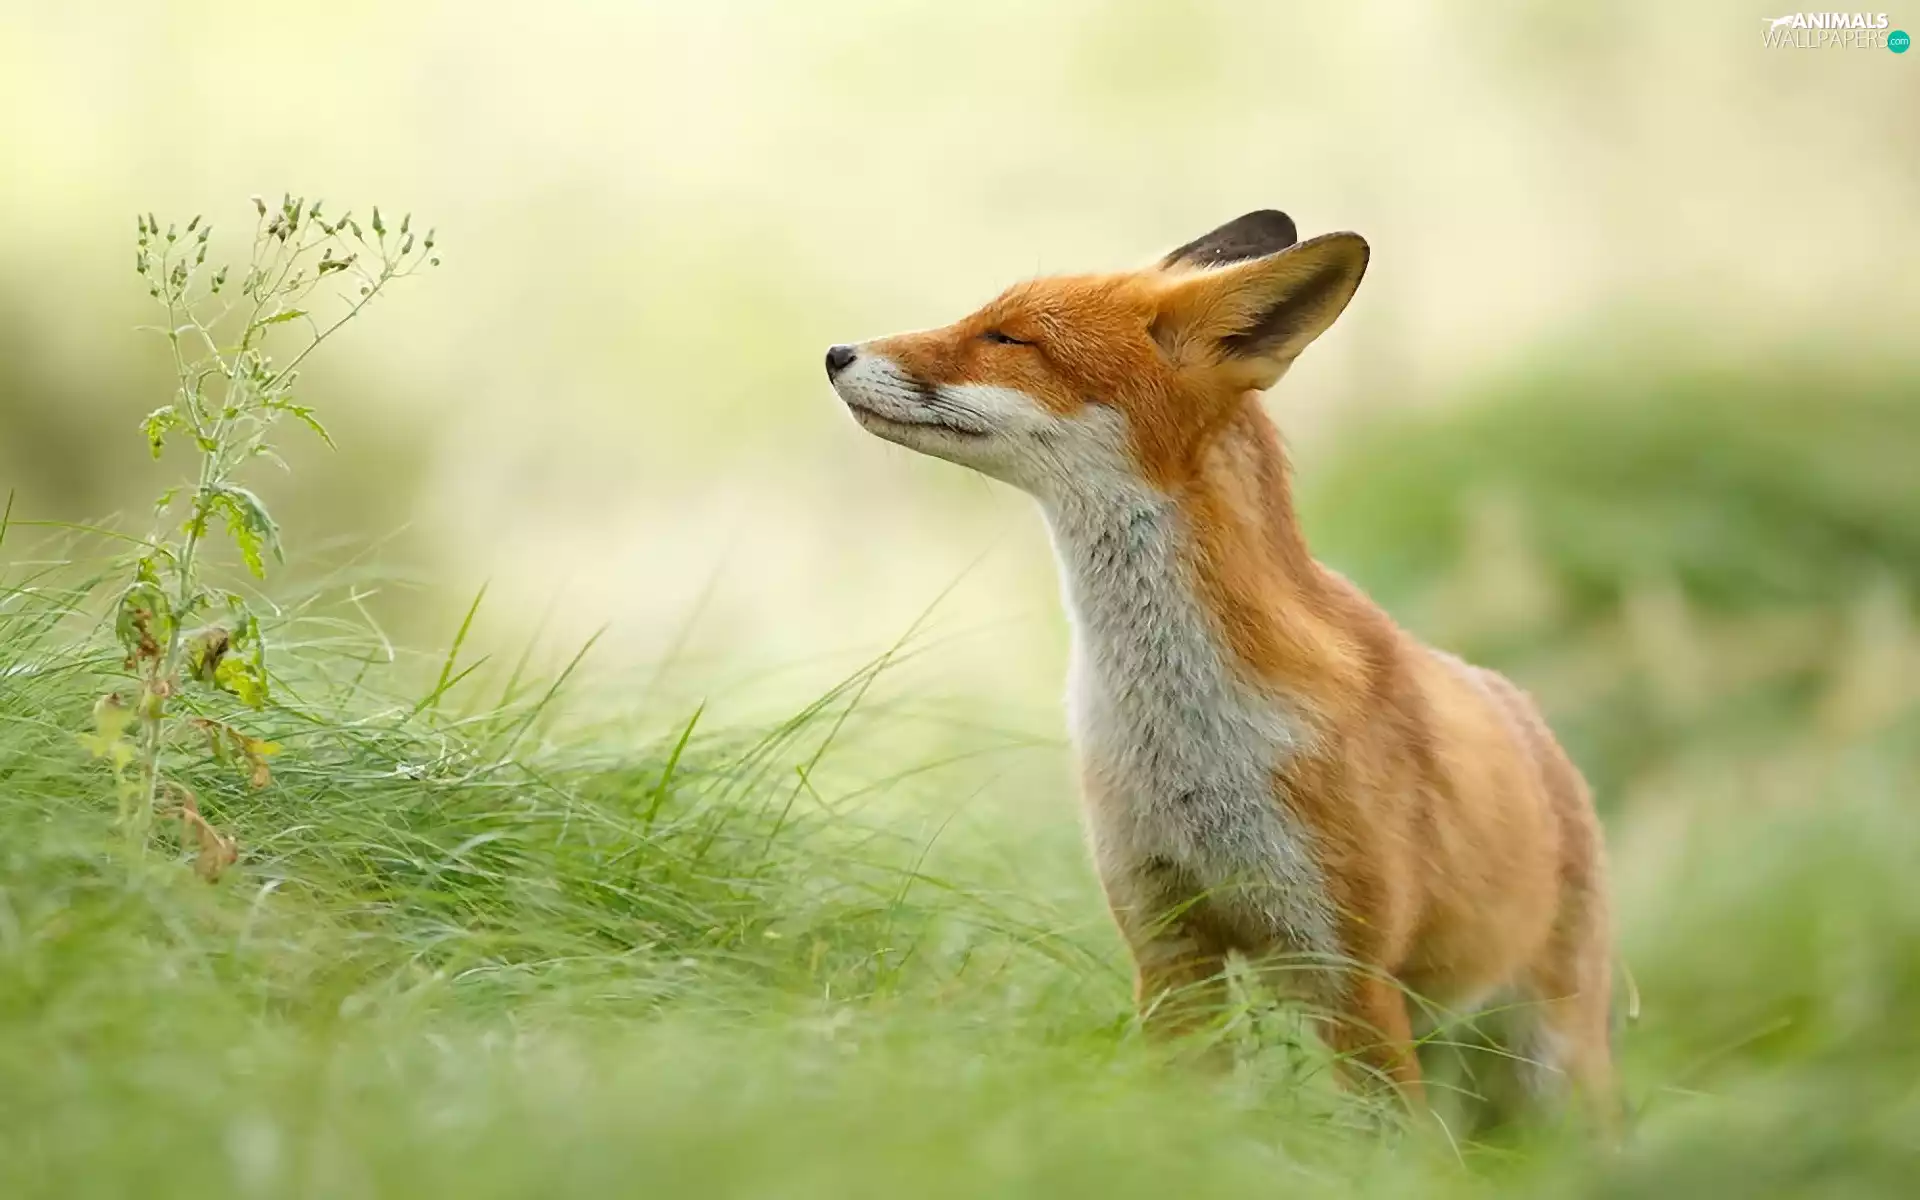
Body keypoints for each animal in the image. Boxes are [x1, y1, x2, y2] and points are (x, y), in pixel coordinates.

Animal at [823, 210, 1613, 1126]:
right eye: (984, 318)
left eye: (1009, 337)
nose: (836, 353)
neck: (1184, 737)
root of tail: (1537, 724)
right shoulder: (1166, 942)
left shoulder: (1349, 971)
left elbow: (1390, 1141)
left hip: (1551, 1062)